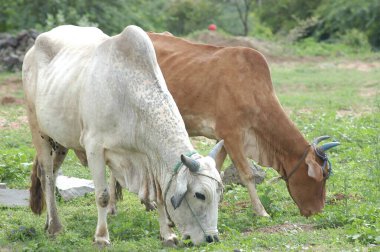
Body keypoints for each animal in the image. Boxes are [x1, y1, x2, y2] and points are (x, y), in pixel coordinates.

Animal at [22, 25, 224, 246]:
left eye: (219, 194)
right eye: (200, 195)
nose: (212, 238)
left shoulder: (149, 159)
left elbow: (160, 196)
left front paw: (168, 235)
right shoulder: (94, 147)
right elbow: (102, 196)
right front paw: (101, 237)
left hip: (60, 140)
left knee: (51, 173)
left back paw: (49, 222)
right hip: (38, 129)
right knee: (47, 176)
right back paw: (55, 227)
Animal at [108, 32, 340, 217]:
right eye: (322, 177)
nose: (318, 211)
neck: (252, 91)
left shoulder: (223, 138)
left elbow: (215, 171)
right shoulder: (232, 135)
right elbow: (247, 174)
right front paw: (261, 212)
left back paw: (147, 203)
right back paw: (112, 207)